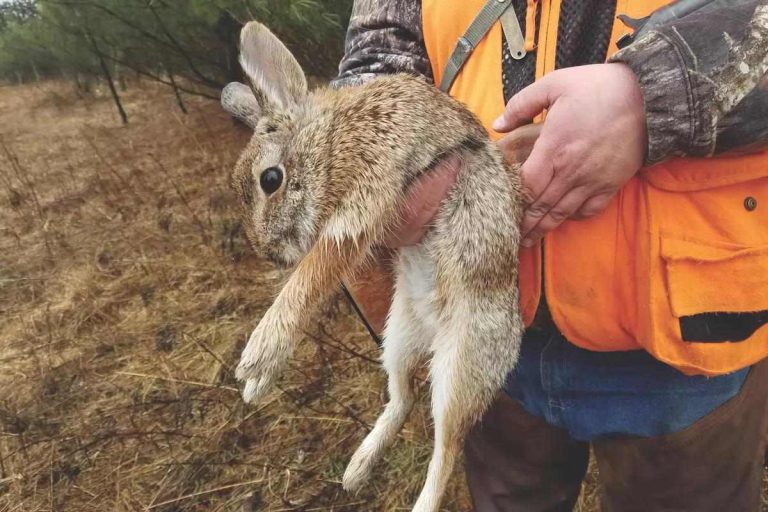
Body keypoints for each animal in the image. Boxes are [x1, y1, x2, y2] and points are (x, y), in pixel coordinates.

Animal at [220, 21, 524, 512]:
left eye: (271, 179)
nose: (270, 253)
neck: (330, 138)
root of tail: (430, 332)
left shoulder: (366, 192)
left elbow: (311, 278)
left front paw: (257, 359)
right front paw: (257, 387)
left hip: (464, 362)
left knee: (447, 445)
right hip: (394, 336)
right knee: (402, 398)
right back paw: (356, 471)